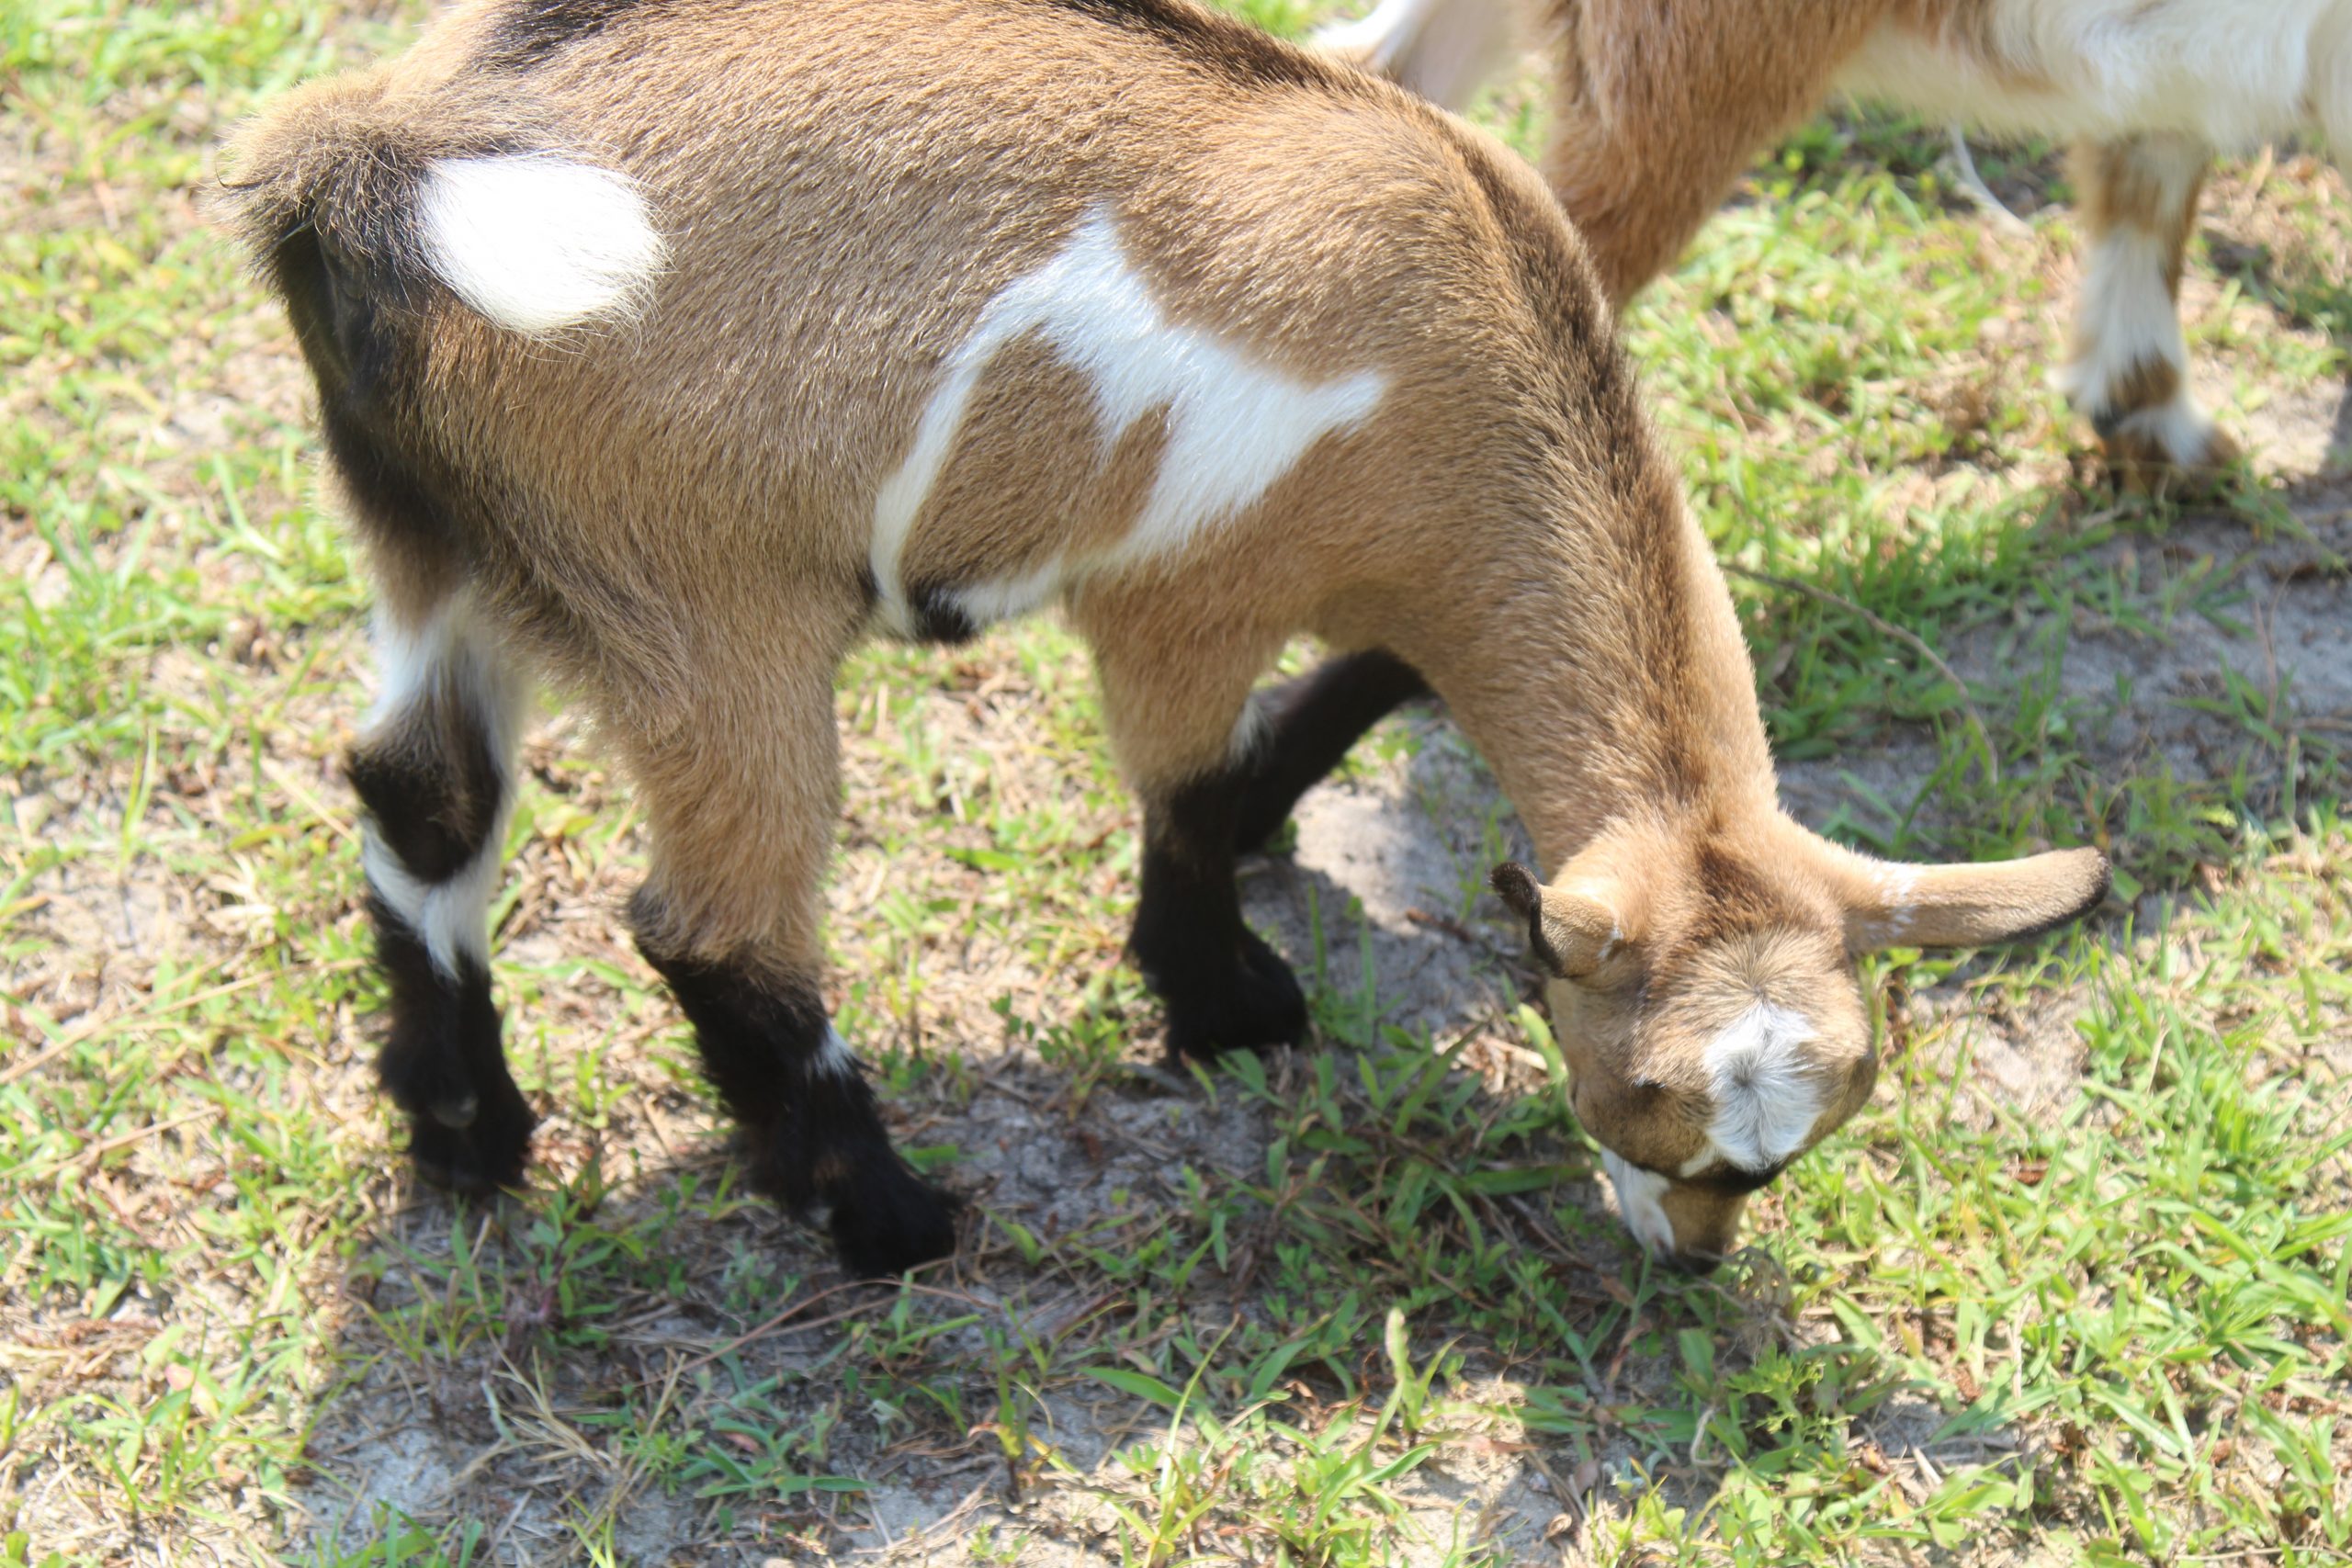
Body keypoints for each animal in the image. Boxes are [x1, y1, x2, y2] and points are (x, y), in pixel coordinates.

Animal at [216, 0, 2098, 1279]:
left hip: (452, 546)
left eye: (1796, 1141)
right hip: (701, 594)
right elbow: (1182, 793)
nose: (1693, 1260)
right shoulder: (1178, 592)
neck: (1461, 356)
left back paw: (469, 1130)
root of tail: (376, 162)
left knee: (419, 799)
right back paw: (886, 1209)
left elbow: (1363, 684)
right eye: (1641, 1099)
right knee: (712, 926)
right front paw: (1228, 1003)